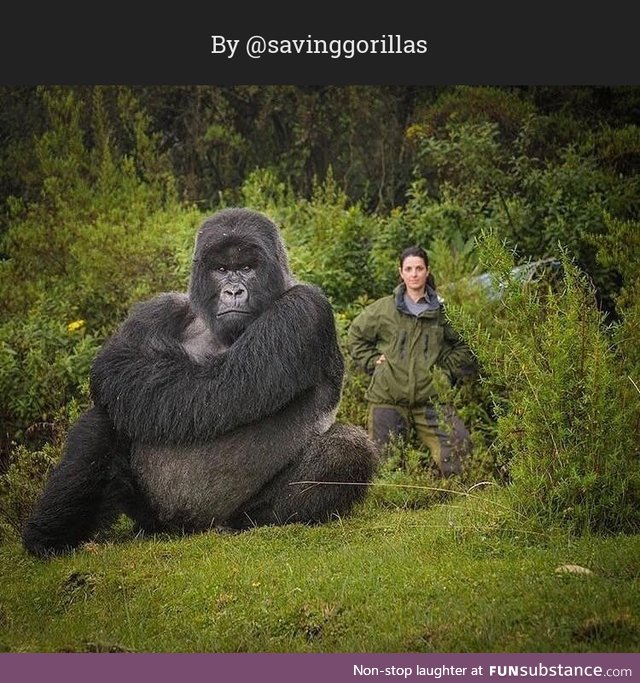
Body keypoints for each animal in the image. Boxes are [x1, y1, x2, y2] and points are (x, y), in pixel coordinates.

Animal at [22, 207, 378, 556]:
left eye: (246, 268)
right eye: (221, 269)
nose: (233, 291)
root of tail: (184, 529)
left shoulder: (304, 309)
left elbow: (222, 385)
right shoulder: (161, 307)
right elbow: (119, 363)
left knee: (348, 446)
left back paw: (250, 522)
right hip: (148, 511)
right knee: (106, 417)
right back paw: (52, 535)